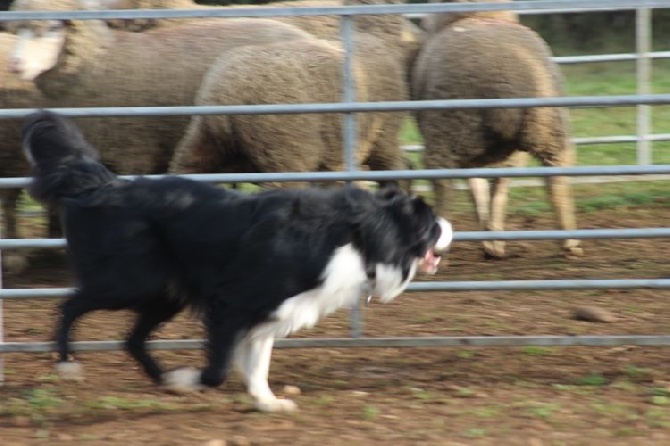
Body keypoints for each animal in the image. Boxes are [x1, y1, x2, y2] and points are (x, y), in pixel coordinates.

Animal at [410, 0, 584, 258]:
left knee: (444, 184)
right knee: (554, 179)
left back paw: (442, 246)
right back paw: (567, 242)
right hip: (547, 128)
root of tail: (504, 77)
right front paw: (490, 238)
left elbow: (476, 188)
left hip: (448, 132)